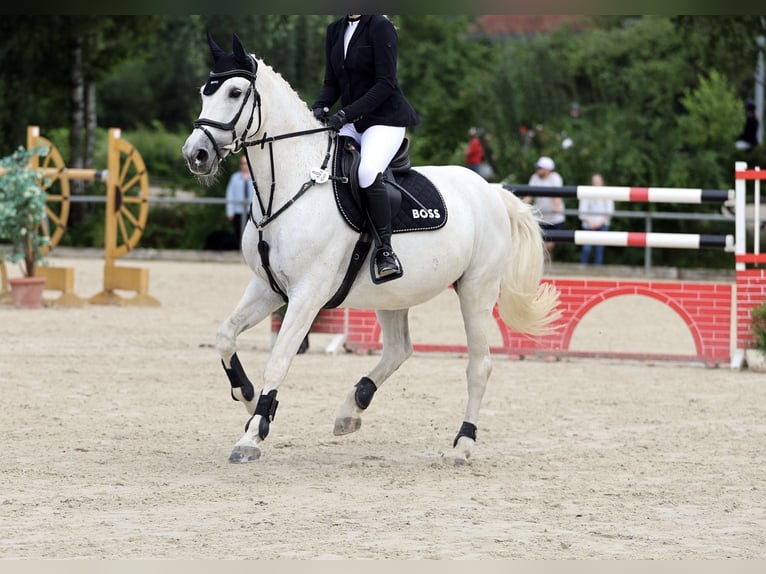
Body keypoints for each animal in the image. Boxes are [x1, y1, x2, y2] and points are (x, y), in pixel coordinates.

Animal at [183, 33, 560, 466]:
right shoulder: (268, 287)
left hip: (476, 291)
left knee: (478, 366)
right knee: (399, 349)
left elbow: (277, 361)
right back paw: (352, 407)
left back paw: (463, 444)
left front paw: (252, 435)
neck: (293, 182)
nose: (195, 155)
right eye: (205, 92)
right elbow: (225, 335)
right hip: (394, 292)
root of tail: (493, 192)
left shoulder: (307, 295)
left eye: (235, 92)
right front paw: (247, 398)